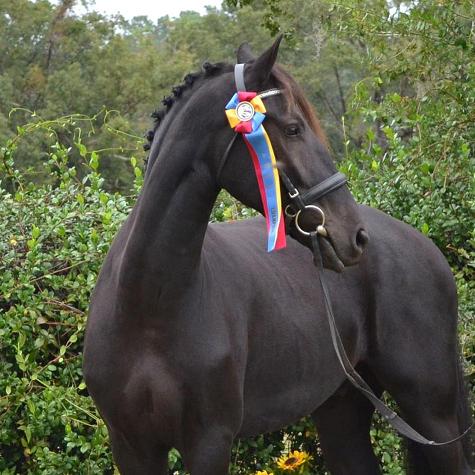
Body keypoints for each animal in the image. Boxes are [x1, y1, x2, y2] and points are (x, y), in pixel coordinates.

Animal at [83, 39, 474, 474]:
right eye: (292, 128)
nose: (354, 235)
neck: (150, 307)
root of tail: (425, 246)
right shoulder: (132, 446)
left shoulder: (209, 442)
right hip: (342, 410)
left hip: (430, 411)